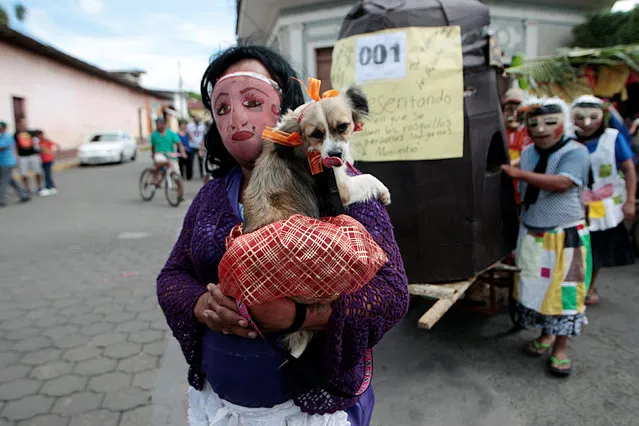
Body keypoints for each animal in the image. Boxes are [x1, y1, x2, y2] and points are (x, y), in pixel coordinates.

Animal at [241, 83, 388, 356]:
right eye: (316, 134)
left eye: (343, 126)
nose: (335, 154)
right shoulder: (340, 189)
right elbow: (368, 178)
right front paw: (383, 191)